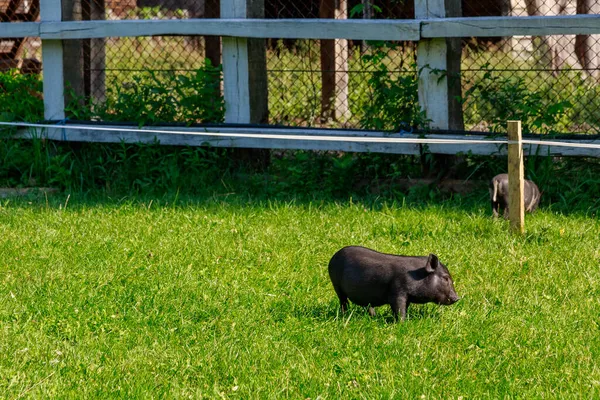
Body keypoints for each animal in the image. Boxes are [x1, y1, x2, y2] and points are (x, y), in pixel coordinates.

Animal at [328, 247, 460, 322]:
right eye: (446, 278)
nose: (457, 298)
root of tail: (334, 256)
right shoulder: (397, 292)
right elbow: (399, 309)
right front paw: (402, 323)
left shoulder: (407, 297)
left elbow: (405, 308)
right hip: (336, 284)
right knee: (343, 301)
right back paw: (345, 316)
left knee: (368, 305)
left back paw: (374, 317)